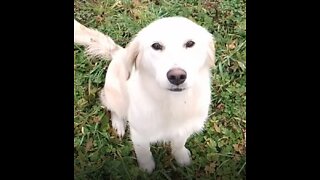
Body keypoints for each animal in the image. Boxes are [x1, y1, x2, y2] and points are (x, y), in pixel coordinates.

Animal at [74, 16, 215, 173]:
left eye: (190, 43)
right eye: (156, 46)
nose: (177, 76)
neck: (172, 103)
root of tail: (119, 53)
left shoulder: (184, 129)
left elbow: (179, 144)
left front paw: (182, 158)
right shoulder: (139, 133)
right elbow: (143, 151)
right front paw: (146, 168)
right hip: (115, 96)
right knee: (115, 110)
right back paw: (118, 124)